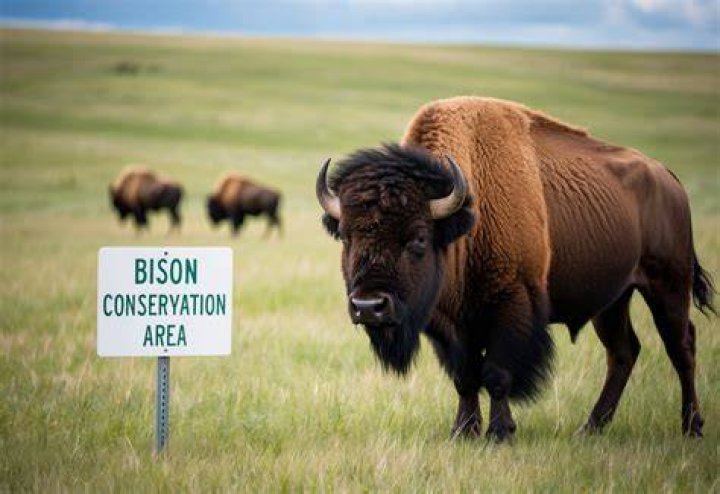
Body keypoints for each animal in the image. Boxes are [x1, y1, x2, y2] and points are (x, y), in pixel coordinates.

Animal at [317, 97, 714, 441]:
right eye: (347, 237)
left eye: (417, 238)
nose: (369, 307)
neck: (467, 216)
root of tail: (669, 179)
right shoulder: (449, 323)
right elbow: (465, 376)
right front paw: (463, 432)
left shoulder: (512, 304)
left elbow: (496, 373)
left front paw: (500, 432)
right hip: (613, 300)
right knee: (623, 352)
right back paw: (589, 429)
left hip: (668, 286)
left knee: (682, 347)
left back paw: (691, 427)